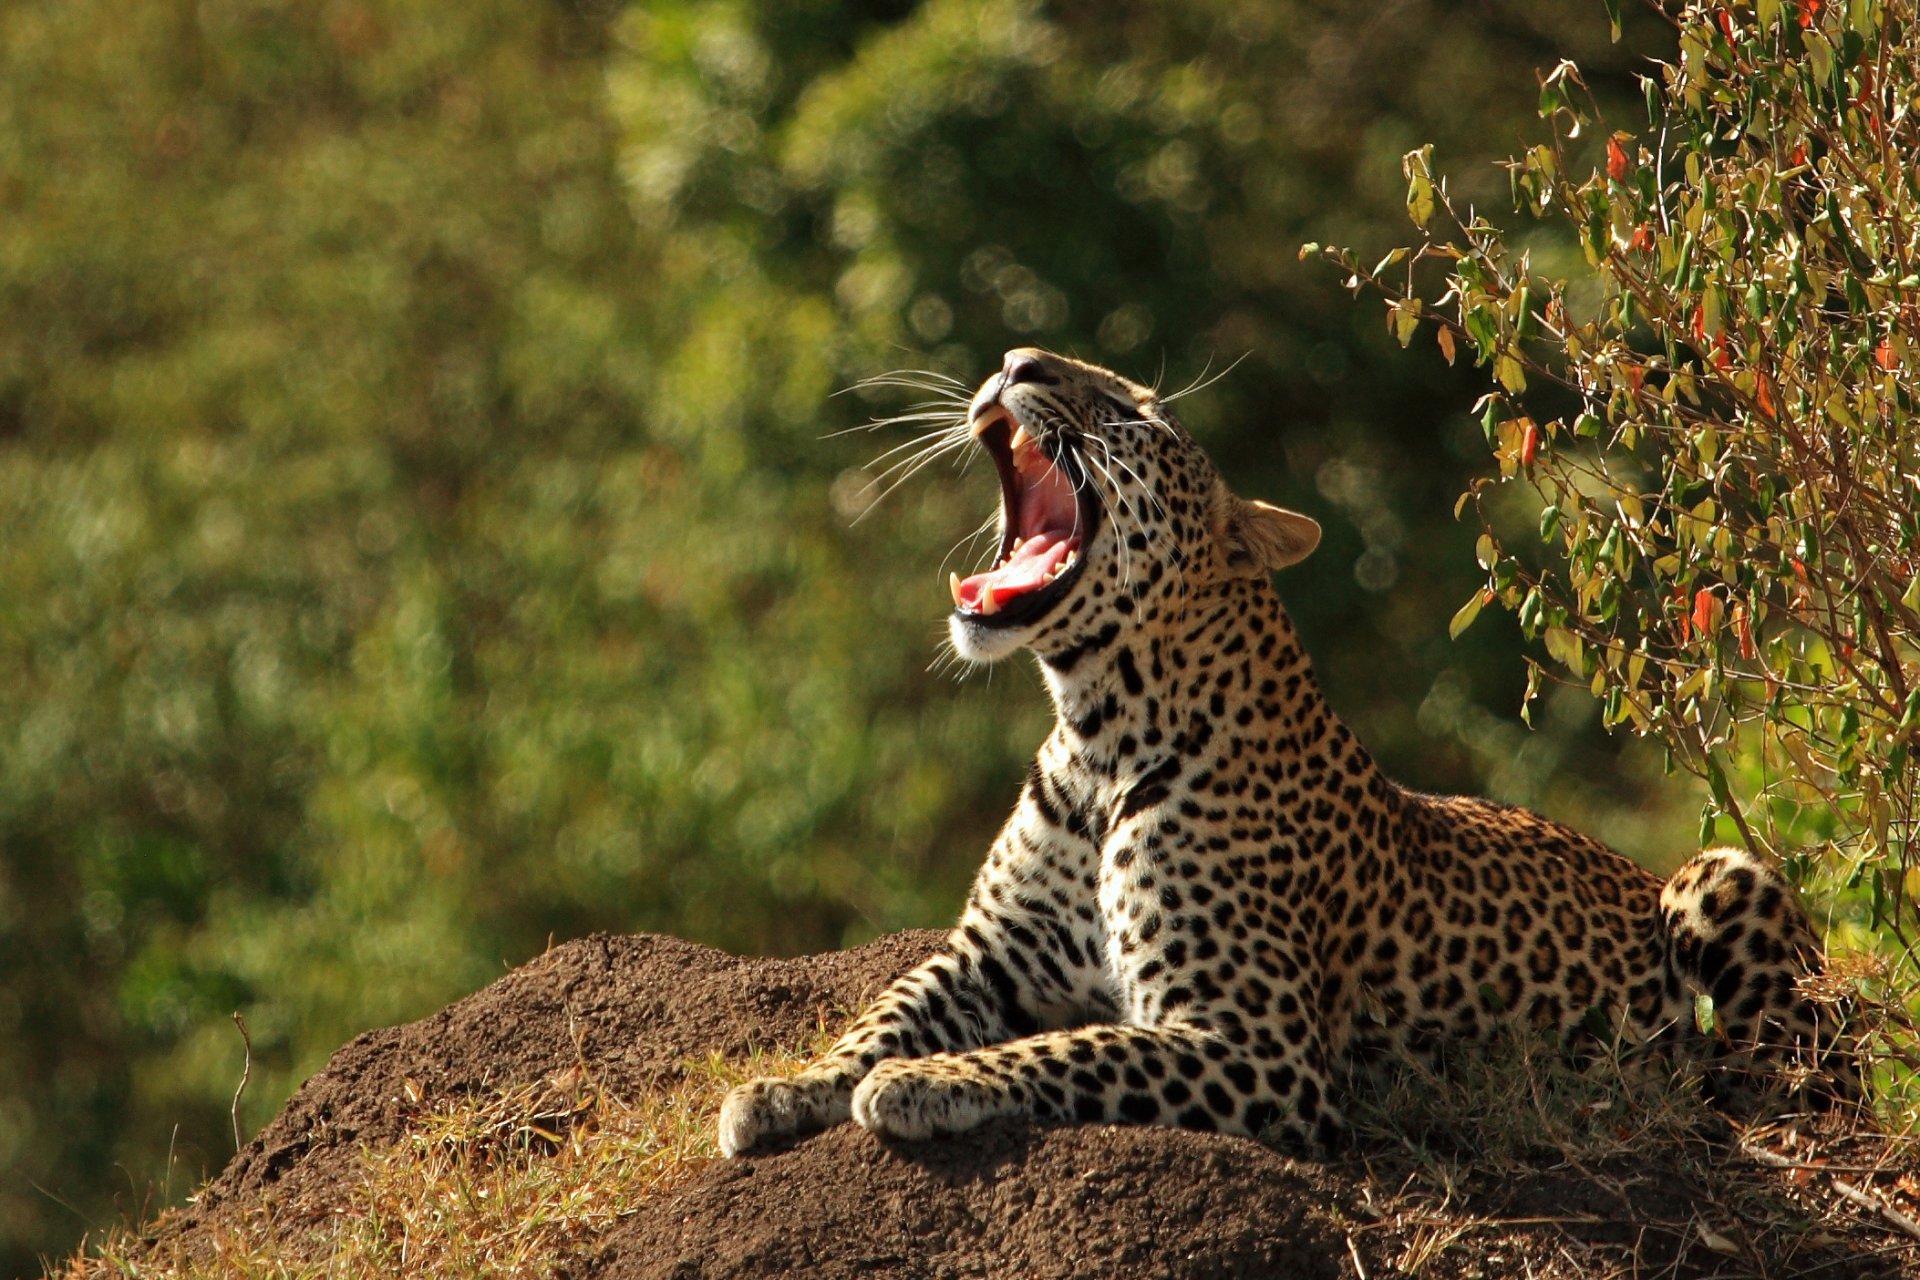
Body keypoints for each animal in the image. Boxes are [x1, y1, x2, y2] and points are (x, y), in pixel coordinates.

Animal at [718, 347, 1853, 1159]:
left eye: (1138, 414)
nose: (1016, 360)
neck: (1098, 733)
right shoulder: (988, 952)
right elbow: (882, 1010)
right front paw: (781, 1089)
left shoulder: (1252, 1044)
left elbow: (1065, 1044)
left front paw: (928, 1083)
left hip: (1723, 878)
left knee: (1794, 1061)